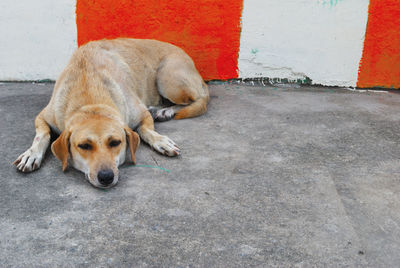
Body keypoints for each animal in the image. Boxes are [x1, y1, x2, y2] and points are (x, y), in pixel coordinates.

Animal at [13, 38, 209, 188]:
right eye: (84, 146)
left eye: (115, 143)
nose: (106, 177)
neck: (91, 98)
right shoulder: (43, 116)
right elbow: (42, 135)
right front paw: (31, 154)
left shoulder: (141, 113)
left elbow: (146, 130)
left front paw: (161, 141)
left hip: (167, 78)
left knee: (197, 99)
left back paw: (166, 110)